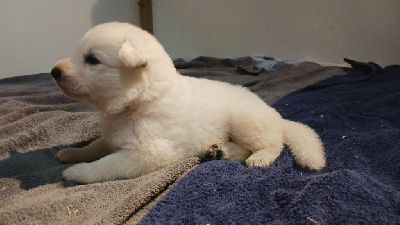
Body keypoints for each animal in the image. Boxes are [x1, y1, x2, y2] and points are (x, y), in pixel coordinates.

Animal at [50, 22, 324, 184]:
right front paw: (72, 152)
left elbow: (107, 164)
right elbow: (96, 145)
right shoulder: (111, 136)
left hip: (246, 121)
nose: (54, 71)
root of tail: (275, 115)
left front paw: (77, 172)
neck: (141, 99)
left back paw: (260, 157)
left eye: (92, 59)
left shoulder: (147, 154)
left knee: (273, 144)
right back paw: (221, 151)